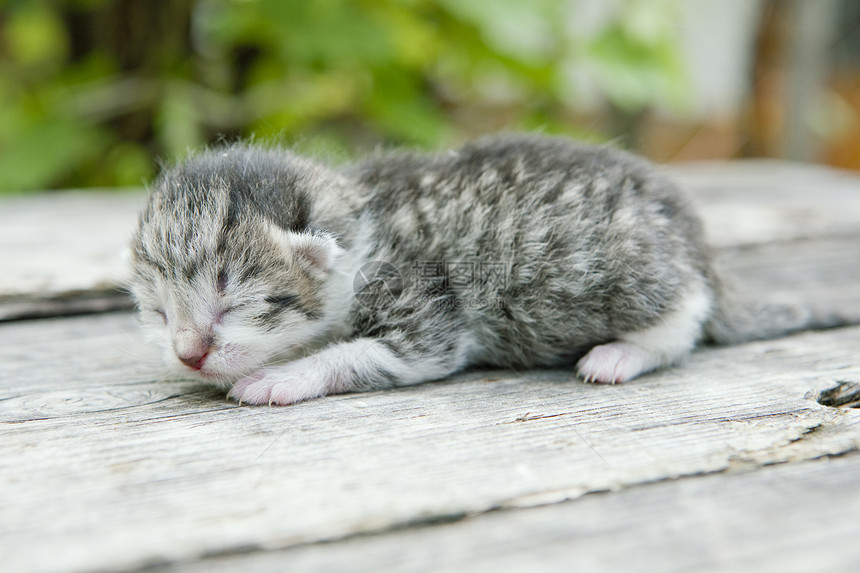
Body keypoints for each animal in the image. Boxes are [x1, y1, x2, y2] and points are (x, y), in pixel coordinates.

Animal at [129, 134, 828, 404]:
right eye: (159, 312)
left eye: (234, 303)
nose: (189, 354)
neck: (362, 225)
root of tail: (690, 233)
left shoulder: (428, 318)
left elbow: (359, 354)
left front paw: (281, 377)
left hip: (634, 270)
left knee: (683, 316)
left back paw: (620, 354)